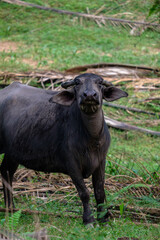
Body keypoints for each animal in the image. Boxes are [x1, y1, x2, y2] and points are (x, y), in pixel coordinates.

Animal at [0, 73, 127, 225]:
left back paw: (10, 208)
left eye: (100, 83)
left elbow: (100, 192)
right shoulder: (72, 164)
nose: (89, 95)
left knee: (6, 172)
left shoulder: (101, 161)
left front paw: (103, 219)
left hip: (12, 153)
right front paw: (89, 220)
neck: (91, 139)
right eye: (77, 83)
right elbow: (84, 193)